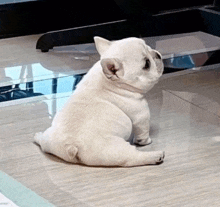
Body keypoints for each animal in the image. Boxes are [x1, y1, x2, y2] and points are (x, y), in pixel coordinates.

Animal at [34, 36, 164, 167]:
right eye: (147, 64)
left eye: (148, 46)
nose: (157, 54)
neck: (110, 82)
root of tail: (70, 146)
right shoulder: (141, 115)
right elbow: (143, 132)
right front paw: (145, 141)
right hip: (113, 150)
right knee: (132, 158)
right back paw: (155, 156)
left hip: (49, 139)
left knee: (43, 142)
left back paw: (37, 136)